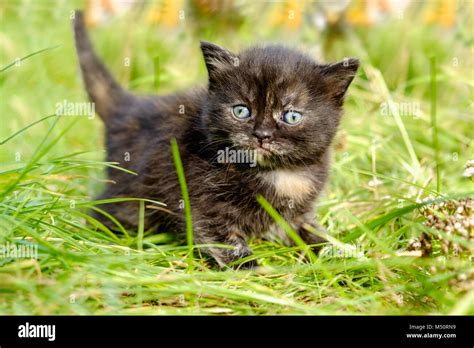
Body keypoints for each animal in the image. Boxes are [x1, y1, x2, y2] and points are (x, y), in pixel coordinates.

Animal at [72, 9, 360, 268]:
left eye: (291, 116)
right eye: (242, 111)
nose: (262, 135)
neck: (278, 173)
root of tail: (130, 109)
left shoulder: (299, 213)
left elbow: (313, 233)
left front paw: (341, 254)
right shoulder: (202, 200)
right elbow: (223, 239)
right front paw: (253, 270)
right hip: (130, 196)